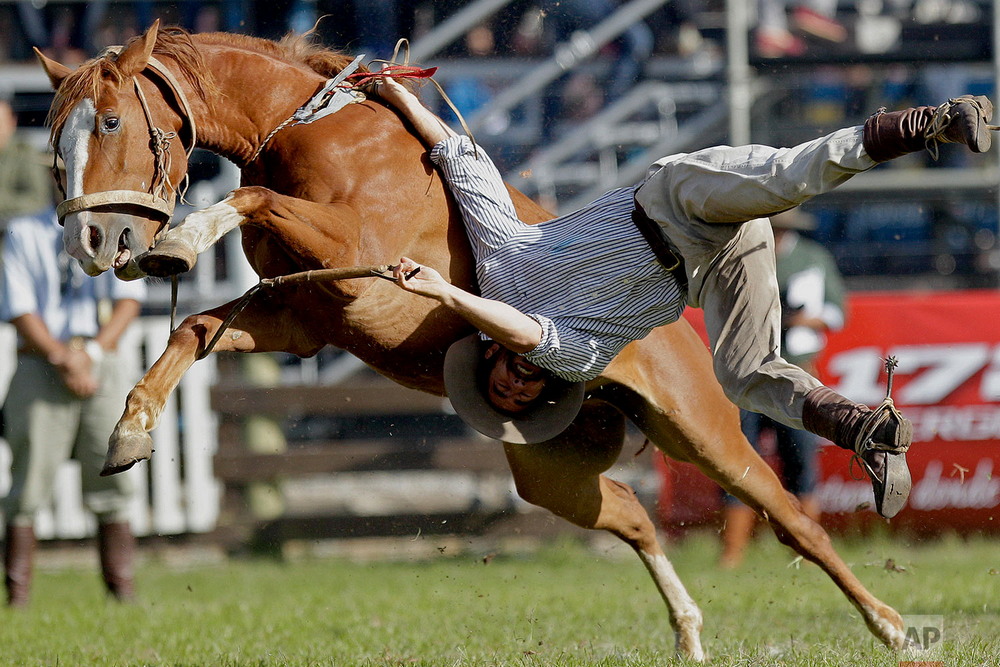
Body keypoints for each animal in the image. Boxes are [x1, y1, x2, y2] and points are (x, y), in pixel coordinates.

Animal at [37, 23, 908, 660]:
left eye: (111, 121)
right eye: (54, 141)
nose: (92, 239)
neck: (312, 136)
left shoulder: (353, 264)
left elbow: (248, 200)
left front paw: (181, 241)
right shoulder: (304, 314)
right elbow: (194, 326)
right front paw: (128, 430)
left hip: (700, 428)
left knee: (789, 514)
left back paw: (890, 614)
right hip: (550, 468)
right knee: (633, 514)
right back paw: (690, 631)